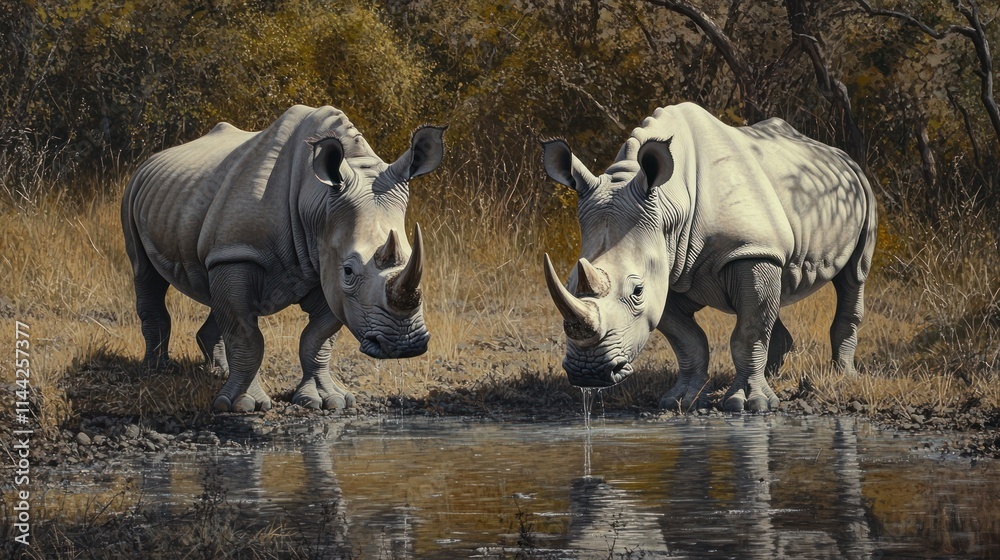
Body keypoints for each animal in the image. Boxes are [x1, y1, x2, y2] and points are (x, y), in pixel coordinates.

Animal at [122, 105, 445, 412]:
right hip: (134, 192)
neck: (317, 201)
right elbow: (246, 335)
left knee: (216, 294)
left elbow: (318, 337)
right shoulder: (241, 252)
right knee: (145, 273)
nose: (405, 345)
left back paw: (218, 371)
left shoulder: (322, 265)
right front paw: (242, 406)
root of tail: (151, 160)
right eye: (349, 271)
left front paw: (328, 400)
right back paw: (157, 371)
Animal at [540, 102, 876, 412]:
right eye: (568, 283)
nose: (588, 373)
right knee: (774, 294)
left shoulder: (747, 249)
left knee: (854, 275)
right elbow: (688, 341)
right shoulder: (668, 268)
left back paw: (843, 377)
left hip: (861, 189)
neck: (669, 204)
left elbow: (748, 332)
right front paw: (680, 400)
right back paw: (771, 377)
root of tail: (842, 156)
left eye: (637, 291)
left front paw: (748, 404)